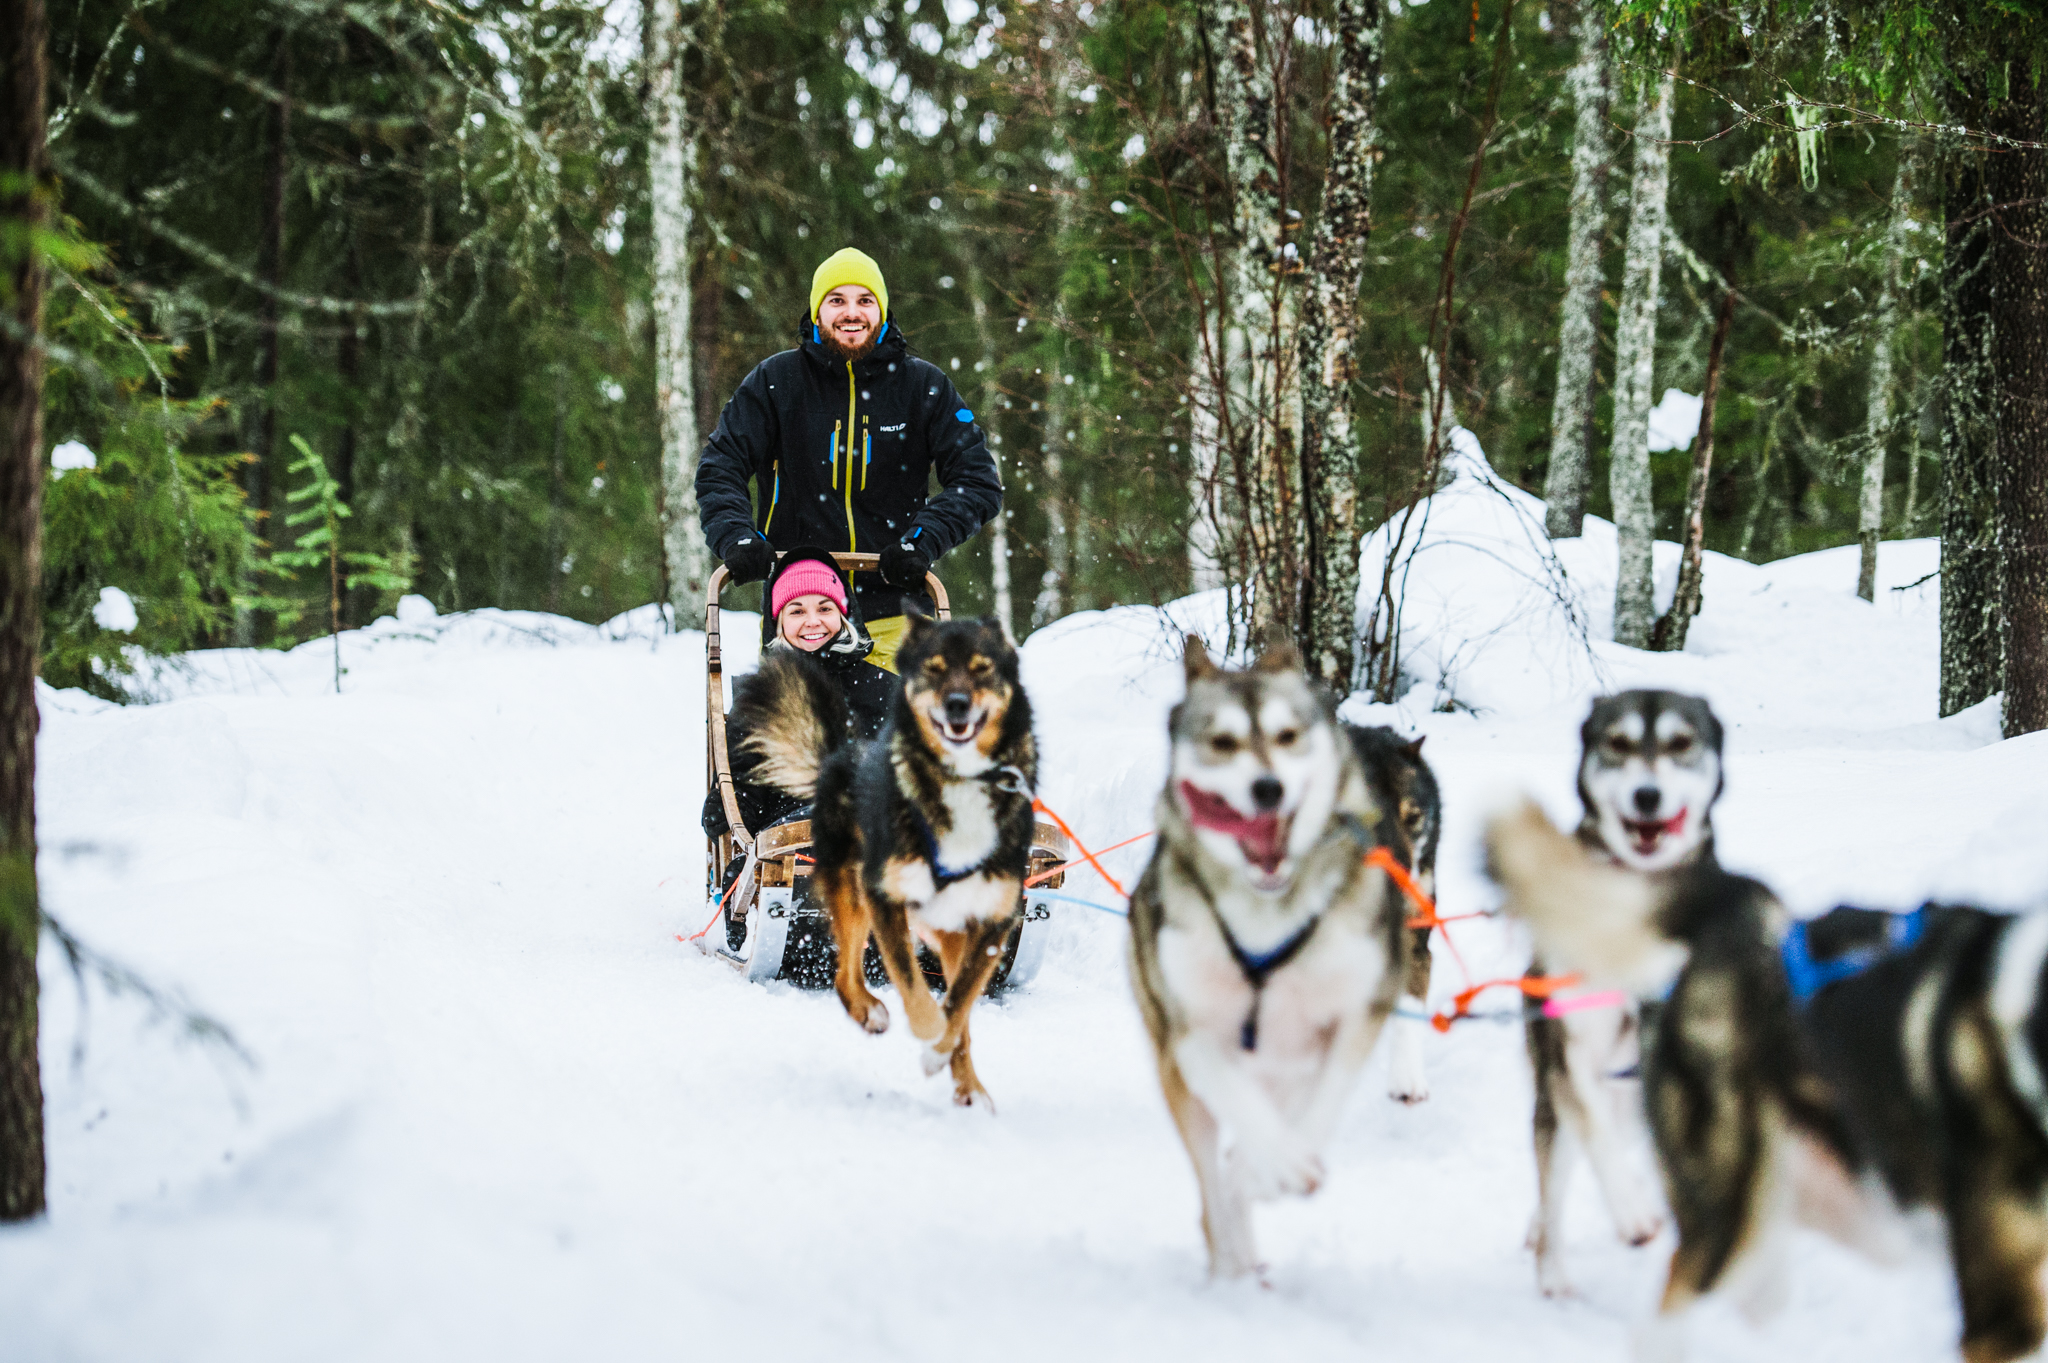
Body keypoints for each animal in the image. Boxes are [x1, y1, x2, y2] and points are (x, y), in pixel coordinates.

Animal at [753, 605, 1040, 1105]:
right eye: (934, 669)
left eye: (982, 668)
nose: (957, 704)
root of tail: (843, 754)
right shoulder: (886, 897)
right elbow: (915, 990)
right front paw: (928, 1034)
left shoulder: (991, 919)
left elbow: (959, 1005)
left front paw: (944, 1052)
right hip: (854, 893)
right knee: (846, 976)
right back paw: (872, 1012)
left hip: (946, 927)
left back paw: (968, 1086)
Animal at [1122, 638, 1409, 1277]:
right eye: (1222, 742)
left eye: (1287, 735)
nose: (1267, 789)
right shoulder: (1191, 1034)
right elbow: (1242, 1110)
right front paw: (1278, 1163)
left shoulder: (1355, 1015)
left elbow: (1323, 1105)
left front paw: (1275, 1170)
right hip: (1182, 1083)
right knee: (1212, 1188)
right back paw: (1233, 1267)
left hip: (1286, 1066)